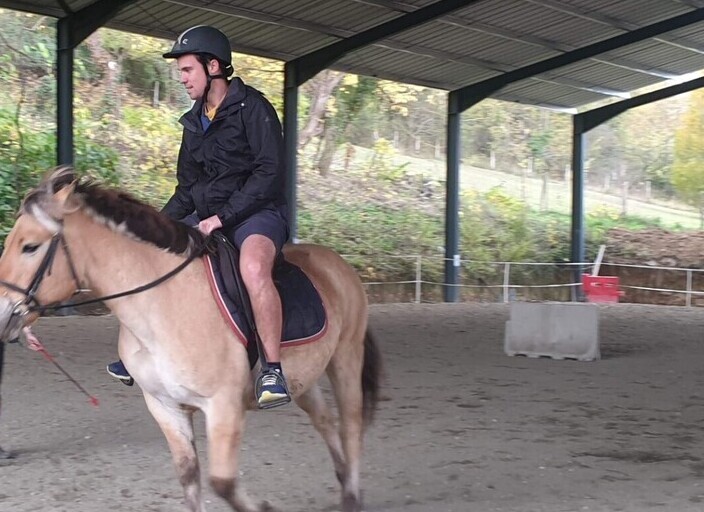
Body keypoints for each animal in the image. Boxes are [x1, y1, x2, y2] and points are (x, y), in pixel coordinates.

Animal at [0, 166, 382, 510]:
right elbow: (188, 476)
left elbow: (223, 483)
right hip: (305, 377)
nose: (2, 313)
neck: (164, 305)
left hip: (345, 359)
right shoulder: (164, 405)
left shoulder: (224, 408)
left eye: (30, 247)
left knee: (350, 425)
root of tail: (338, 264)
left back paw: (352, 494)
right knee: (325, 421)